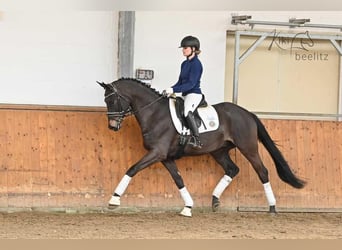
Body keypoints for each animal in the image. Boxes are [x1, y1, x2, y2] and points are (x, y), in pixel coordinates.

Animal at [97, 78, 306, 217]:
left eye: (113, 100)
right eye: (106, 100)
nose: (112, 126)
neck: (155, 113)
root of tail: (247, 113)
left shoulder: (157, 153)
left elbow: (132, 169)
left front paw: (114, 199)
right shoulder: (166, 157)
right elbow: (179, 180)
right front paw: (188, 207)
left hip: (248, 148)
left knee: (262, 171)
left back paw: (272, 207)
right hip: (219, 151)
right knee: (233, 169)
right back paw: (215, 200)